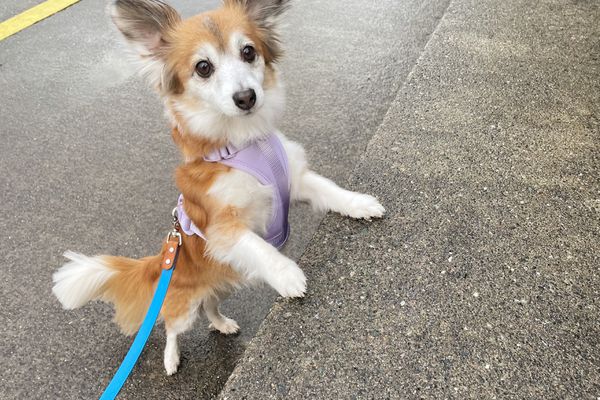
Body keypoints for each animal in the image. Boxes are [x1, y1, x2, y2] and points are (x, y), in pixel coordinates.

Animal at [50, 0, 380, 376]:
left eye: (249, 51)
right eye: (203, 67)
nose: (246, 97)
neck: (242, 144)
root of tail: (163, 260)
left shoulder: (296, 180)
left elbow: (331, 190)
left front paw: (361, 204)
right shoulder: (222, 229)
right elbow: (260, 247)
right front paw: (287, 275)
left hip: (225, 280)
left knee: (210, 306)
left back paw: (222, 324)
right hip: (186, 304)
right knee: (171, 326)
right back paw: (171, 359)